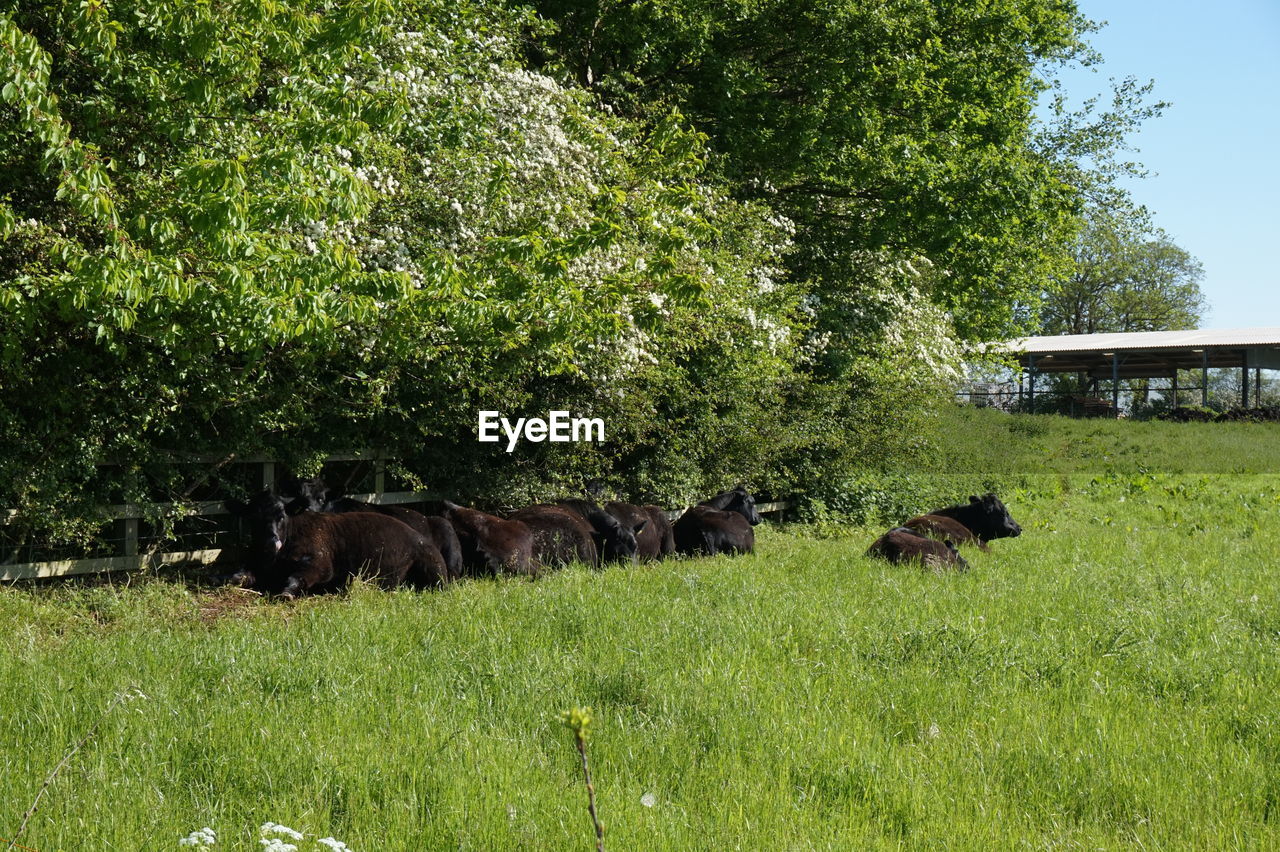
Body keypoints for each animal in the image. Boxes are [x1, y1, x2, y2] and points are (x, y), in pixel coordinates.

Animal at [227, 488, 448, 593]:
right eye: (253, 518)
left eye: (281, 515)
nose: (270, 541)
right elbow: (237, 576)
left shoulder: (321, 564)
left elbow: (295, 578)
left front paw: (286, 592)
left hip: (435, 573)